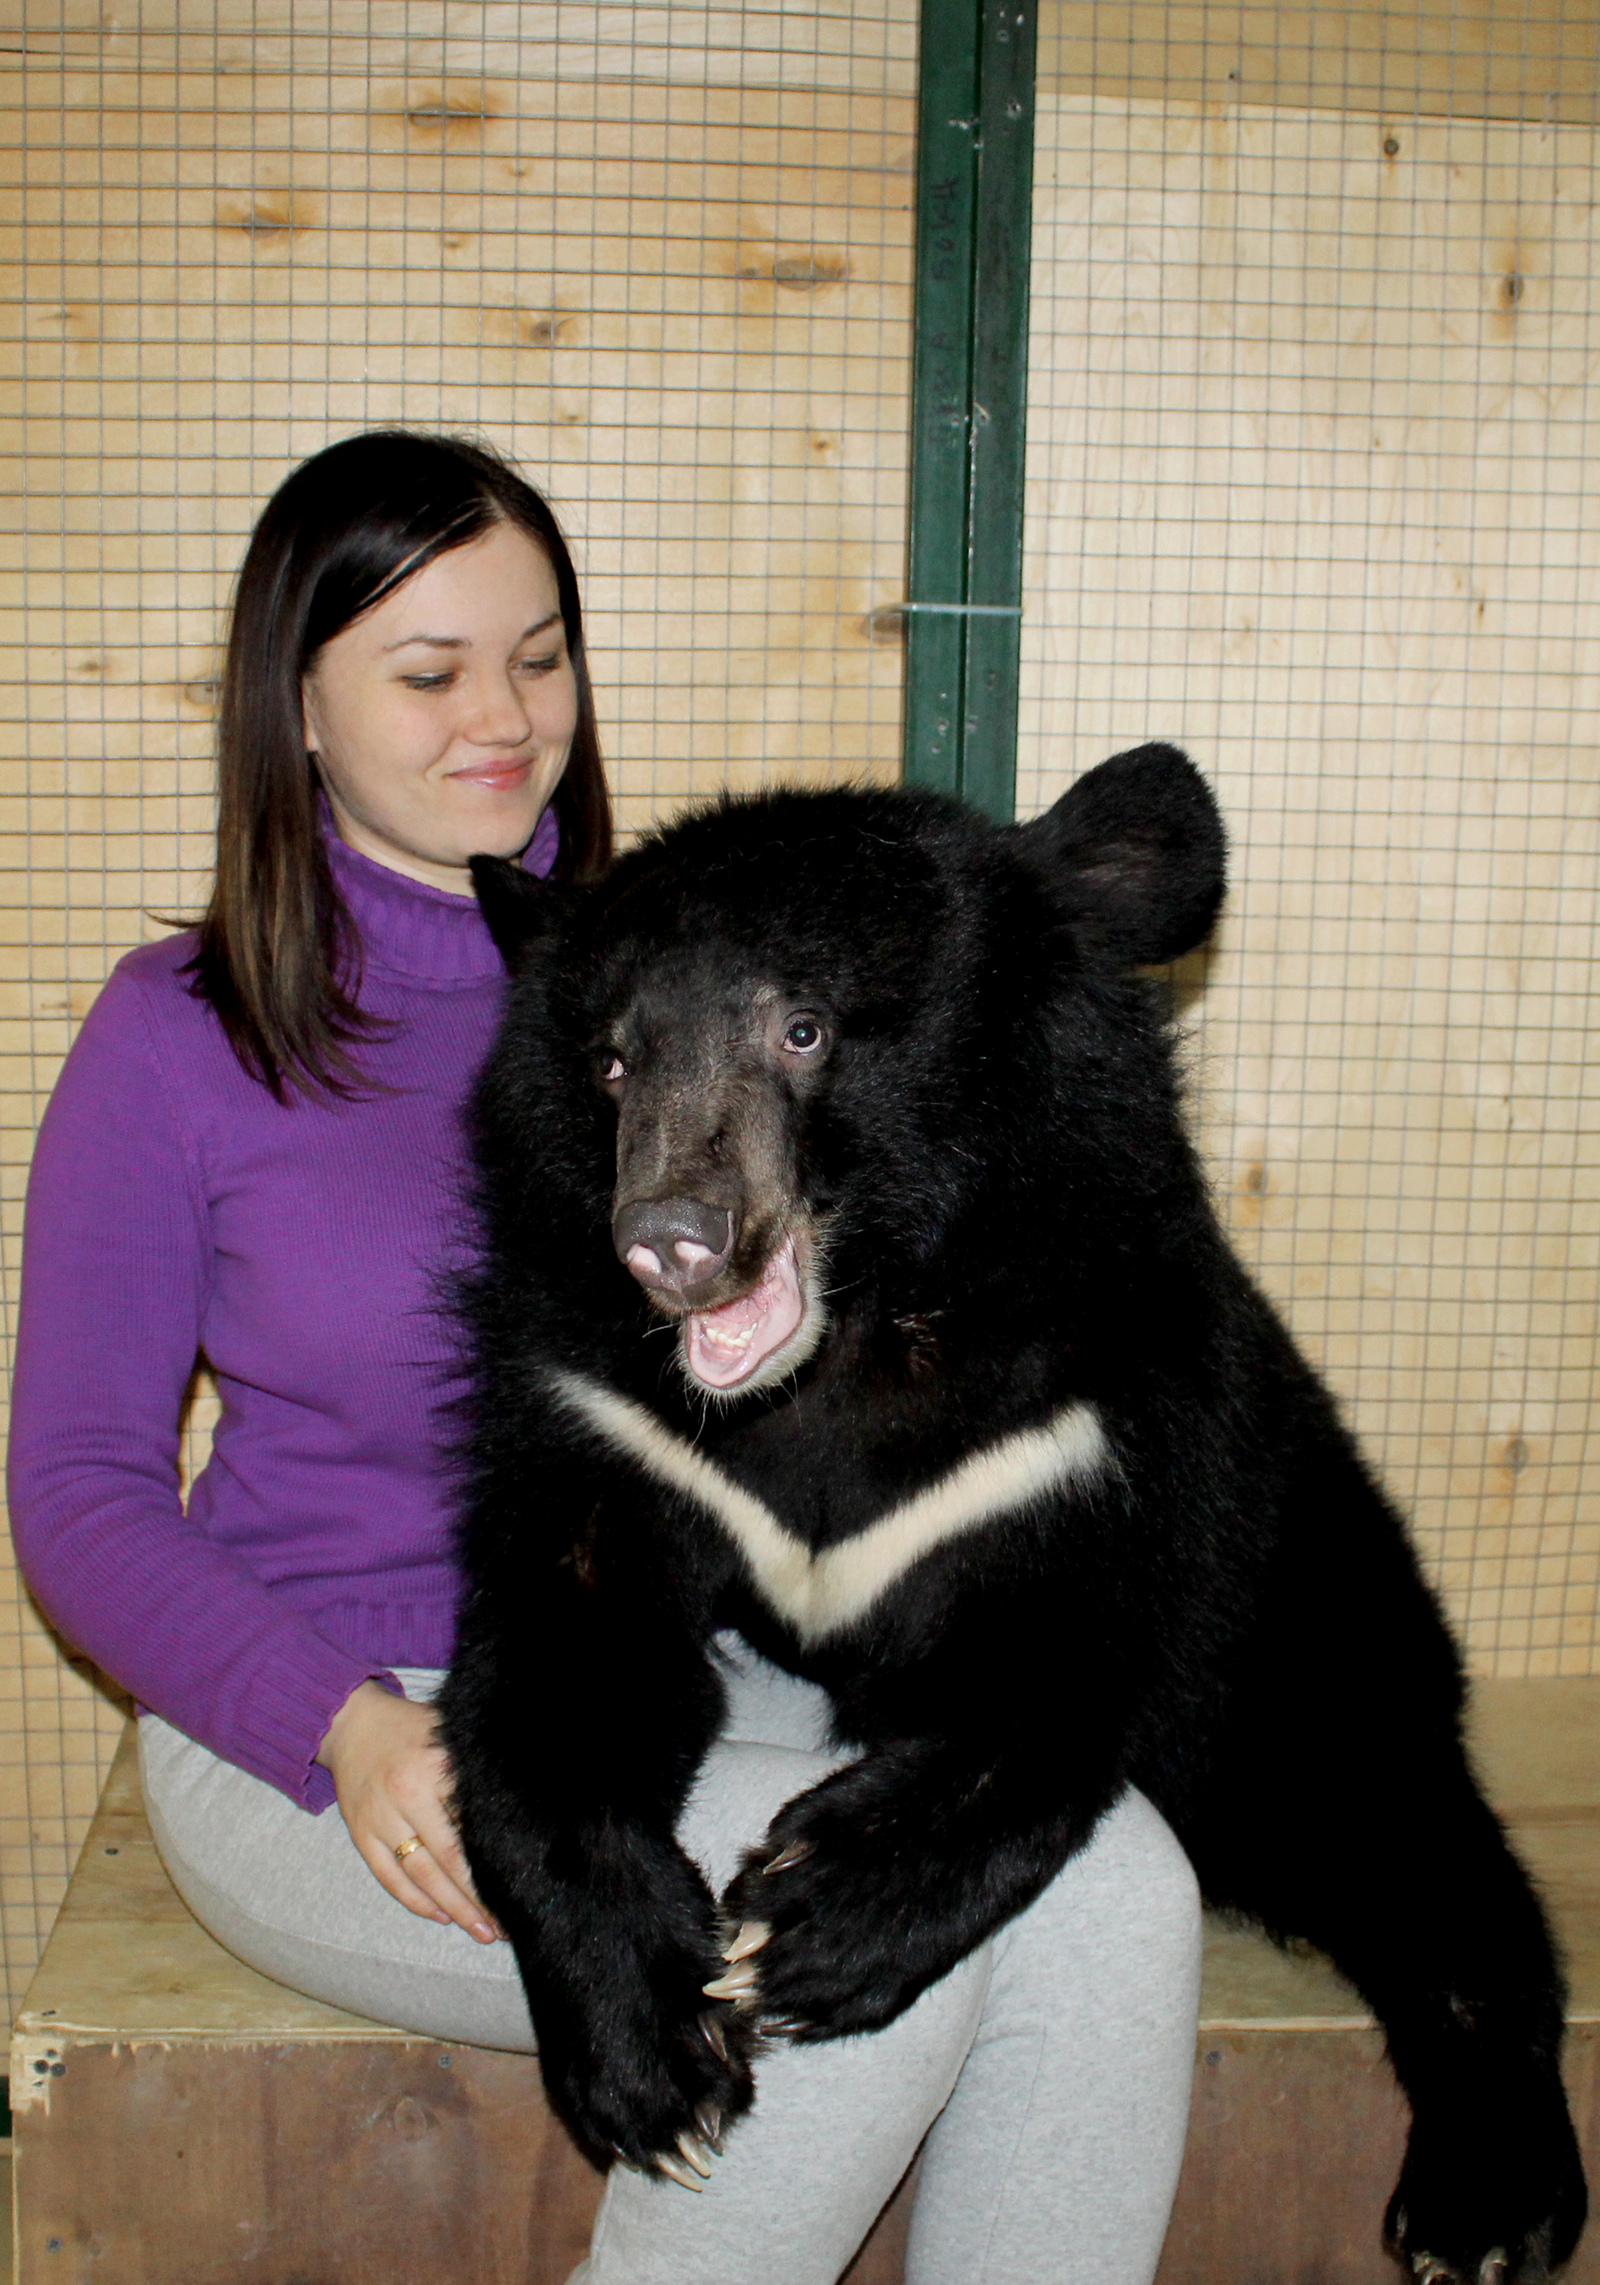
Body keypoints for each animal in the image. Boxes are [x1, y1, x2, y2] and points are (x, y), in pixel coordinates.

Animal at [436, 754, 1590, 2285]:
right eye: (612, 1060)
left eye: (804, 1027)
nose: (673, 1240)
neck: (850, 1343)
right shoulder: (607, 1409)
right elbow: (557, 1660)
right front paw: (660, 2054)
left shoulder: (1088, 1425)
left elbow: (1060, 1680)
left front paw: (808, 1912)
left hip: (1309, 1601)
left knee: (1397, 1817)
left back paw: (1485, 2204)